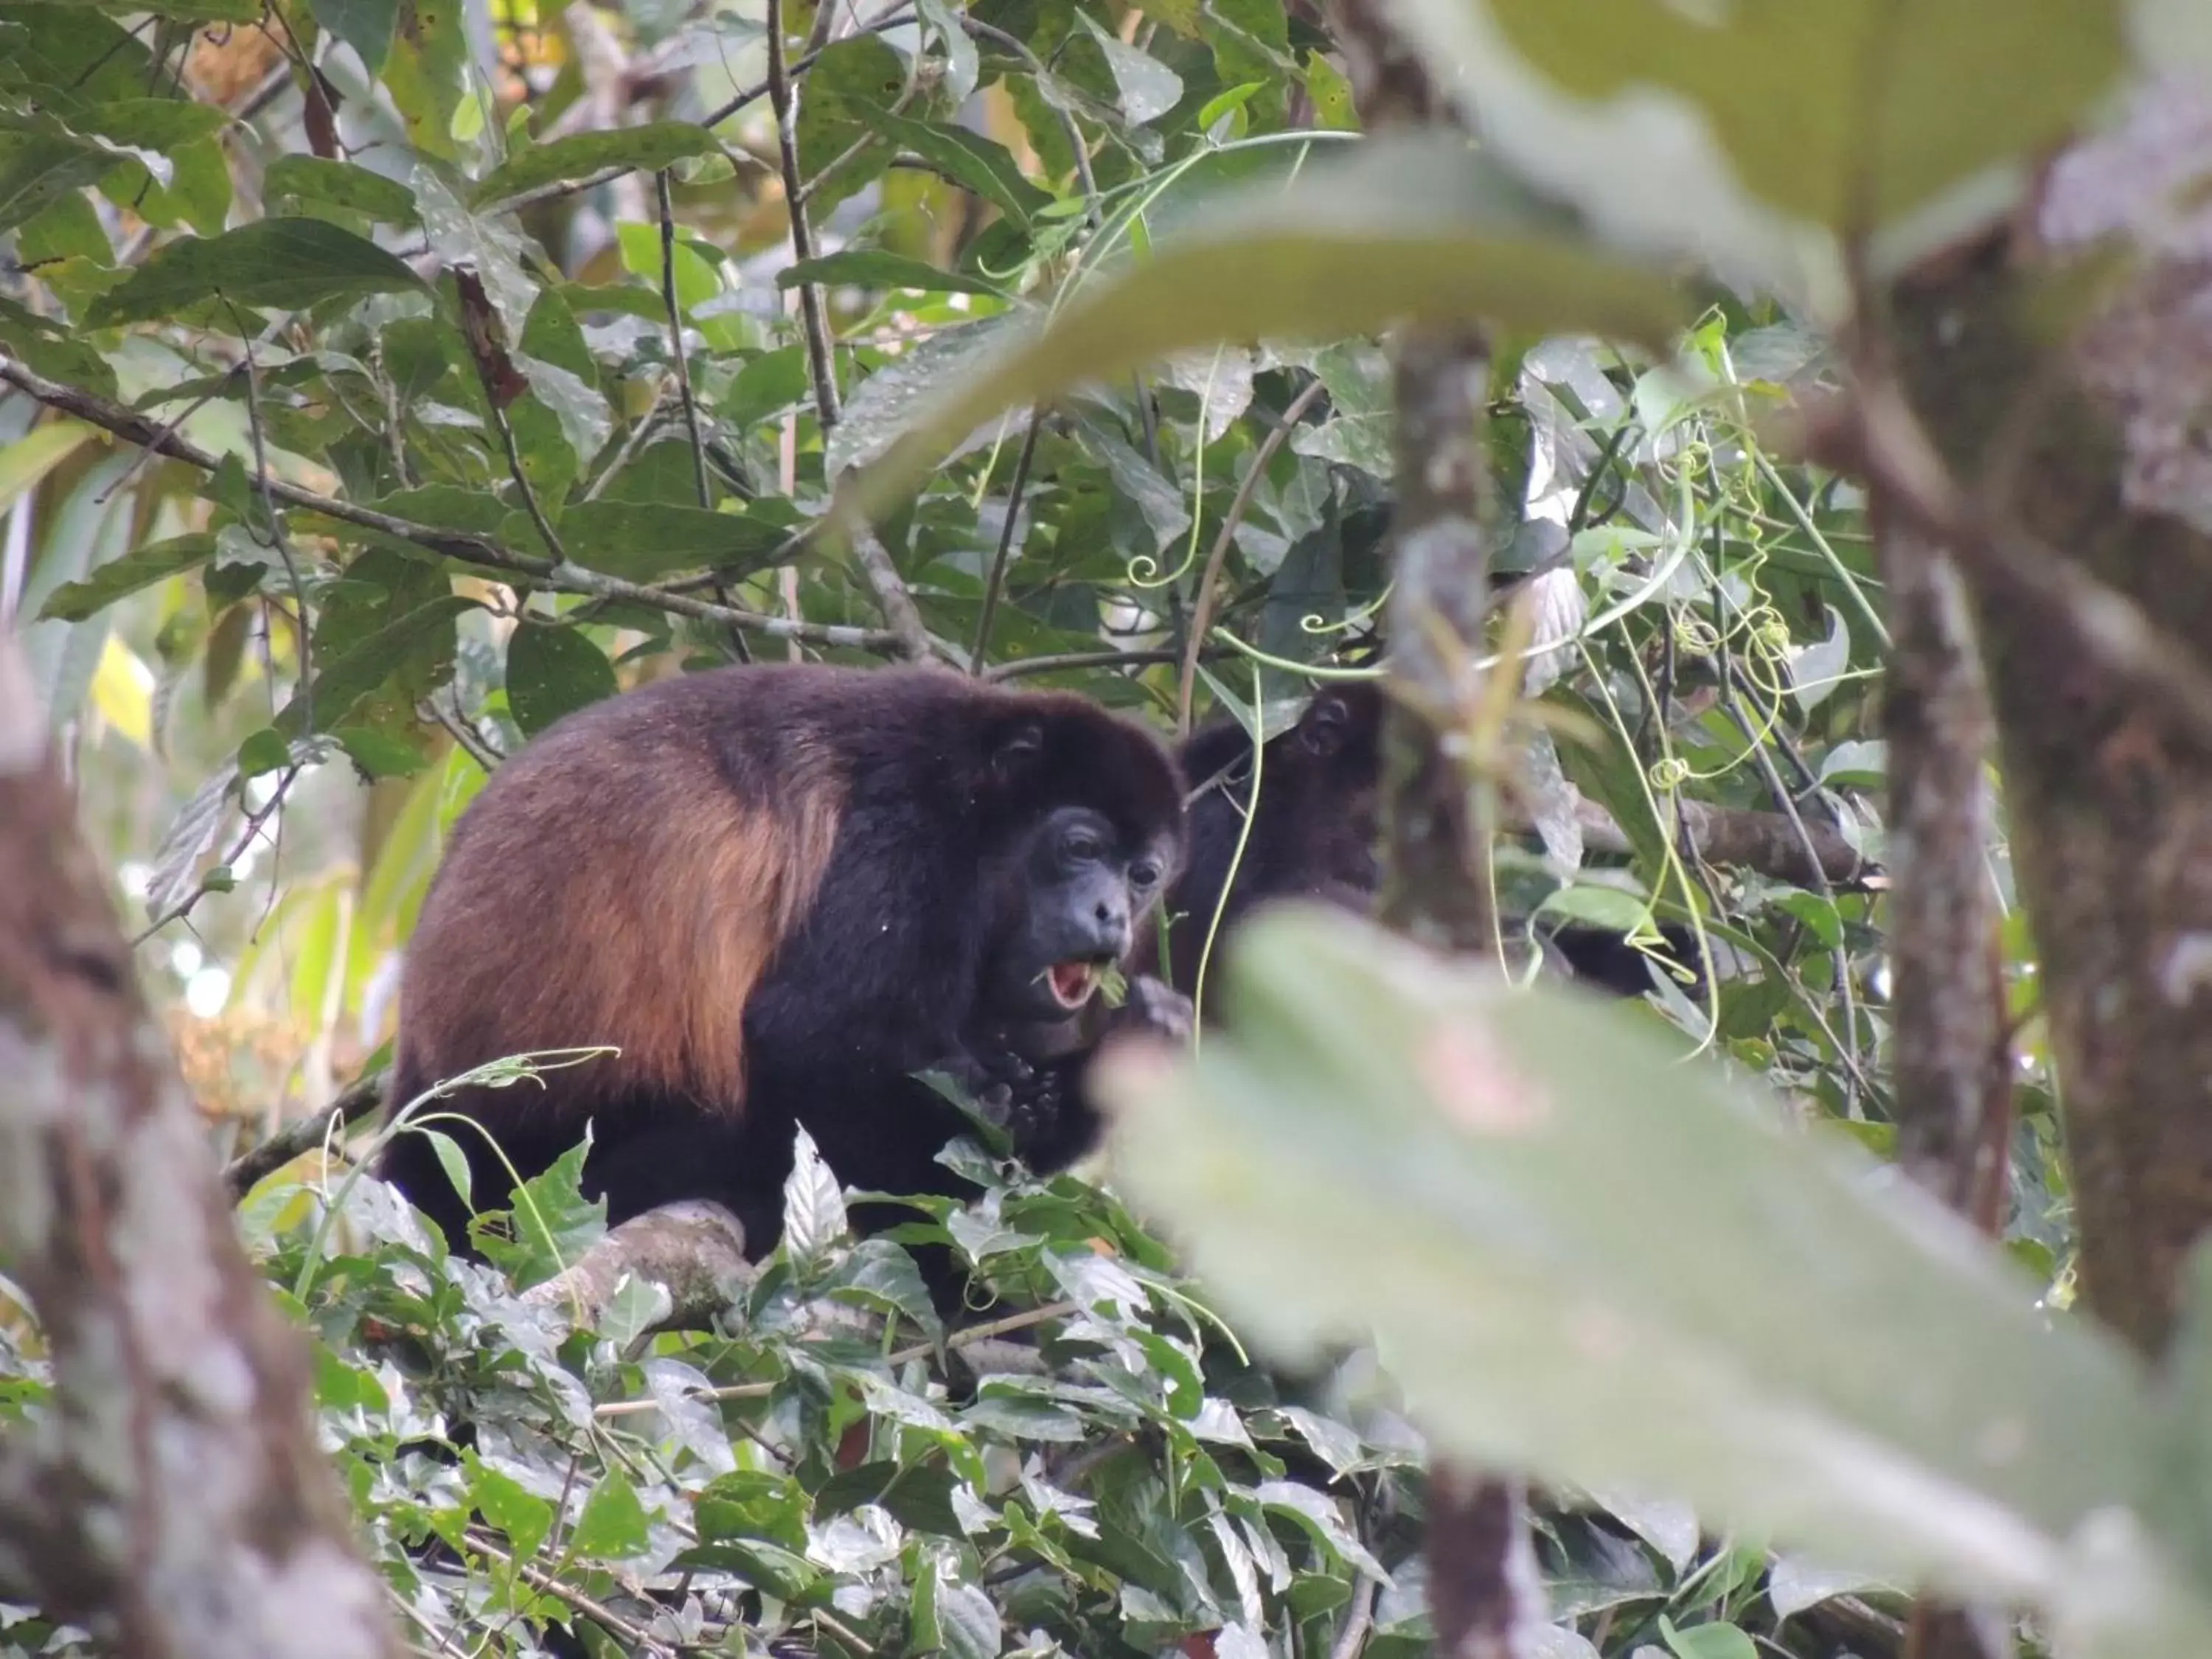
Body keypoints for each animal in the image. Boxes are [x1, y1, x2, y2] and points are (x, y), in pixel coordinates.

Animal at [376, 664, 1194, 1256]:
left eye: (1142, 874)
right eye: (1080, 847)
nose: (1114, 915)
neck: (983, 812)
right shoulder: (908, 839)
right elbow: (808, 1038)